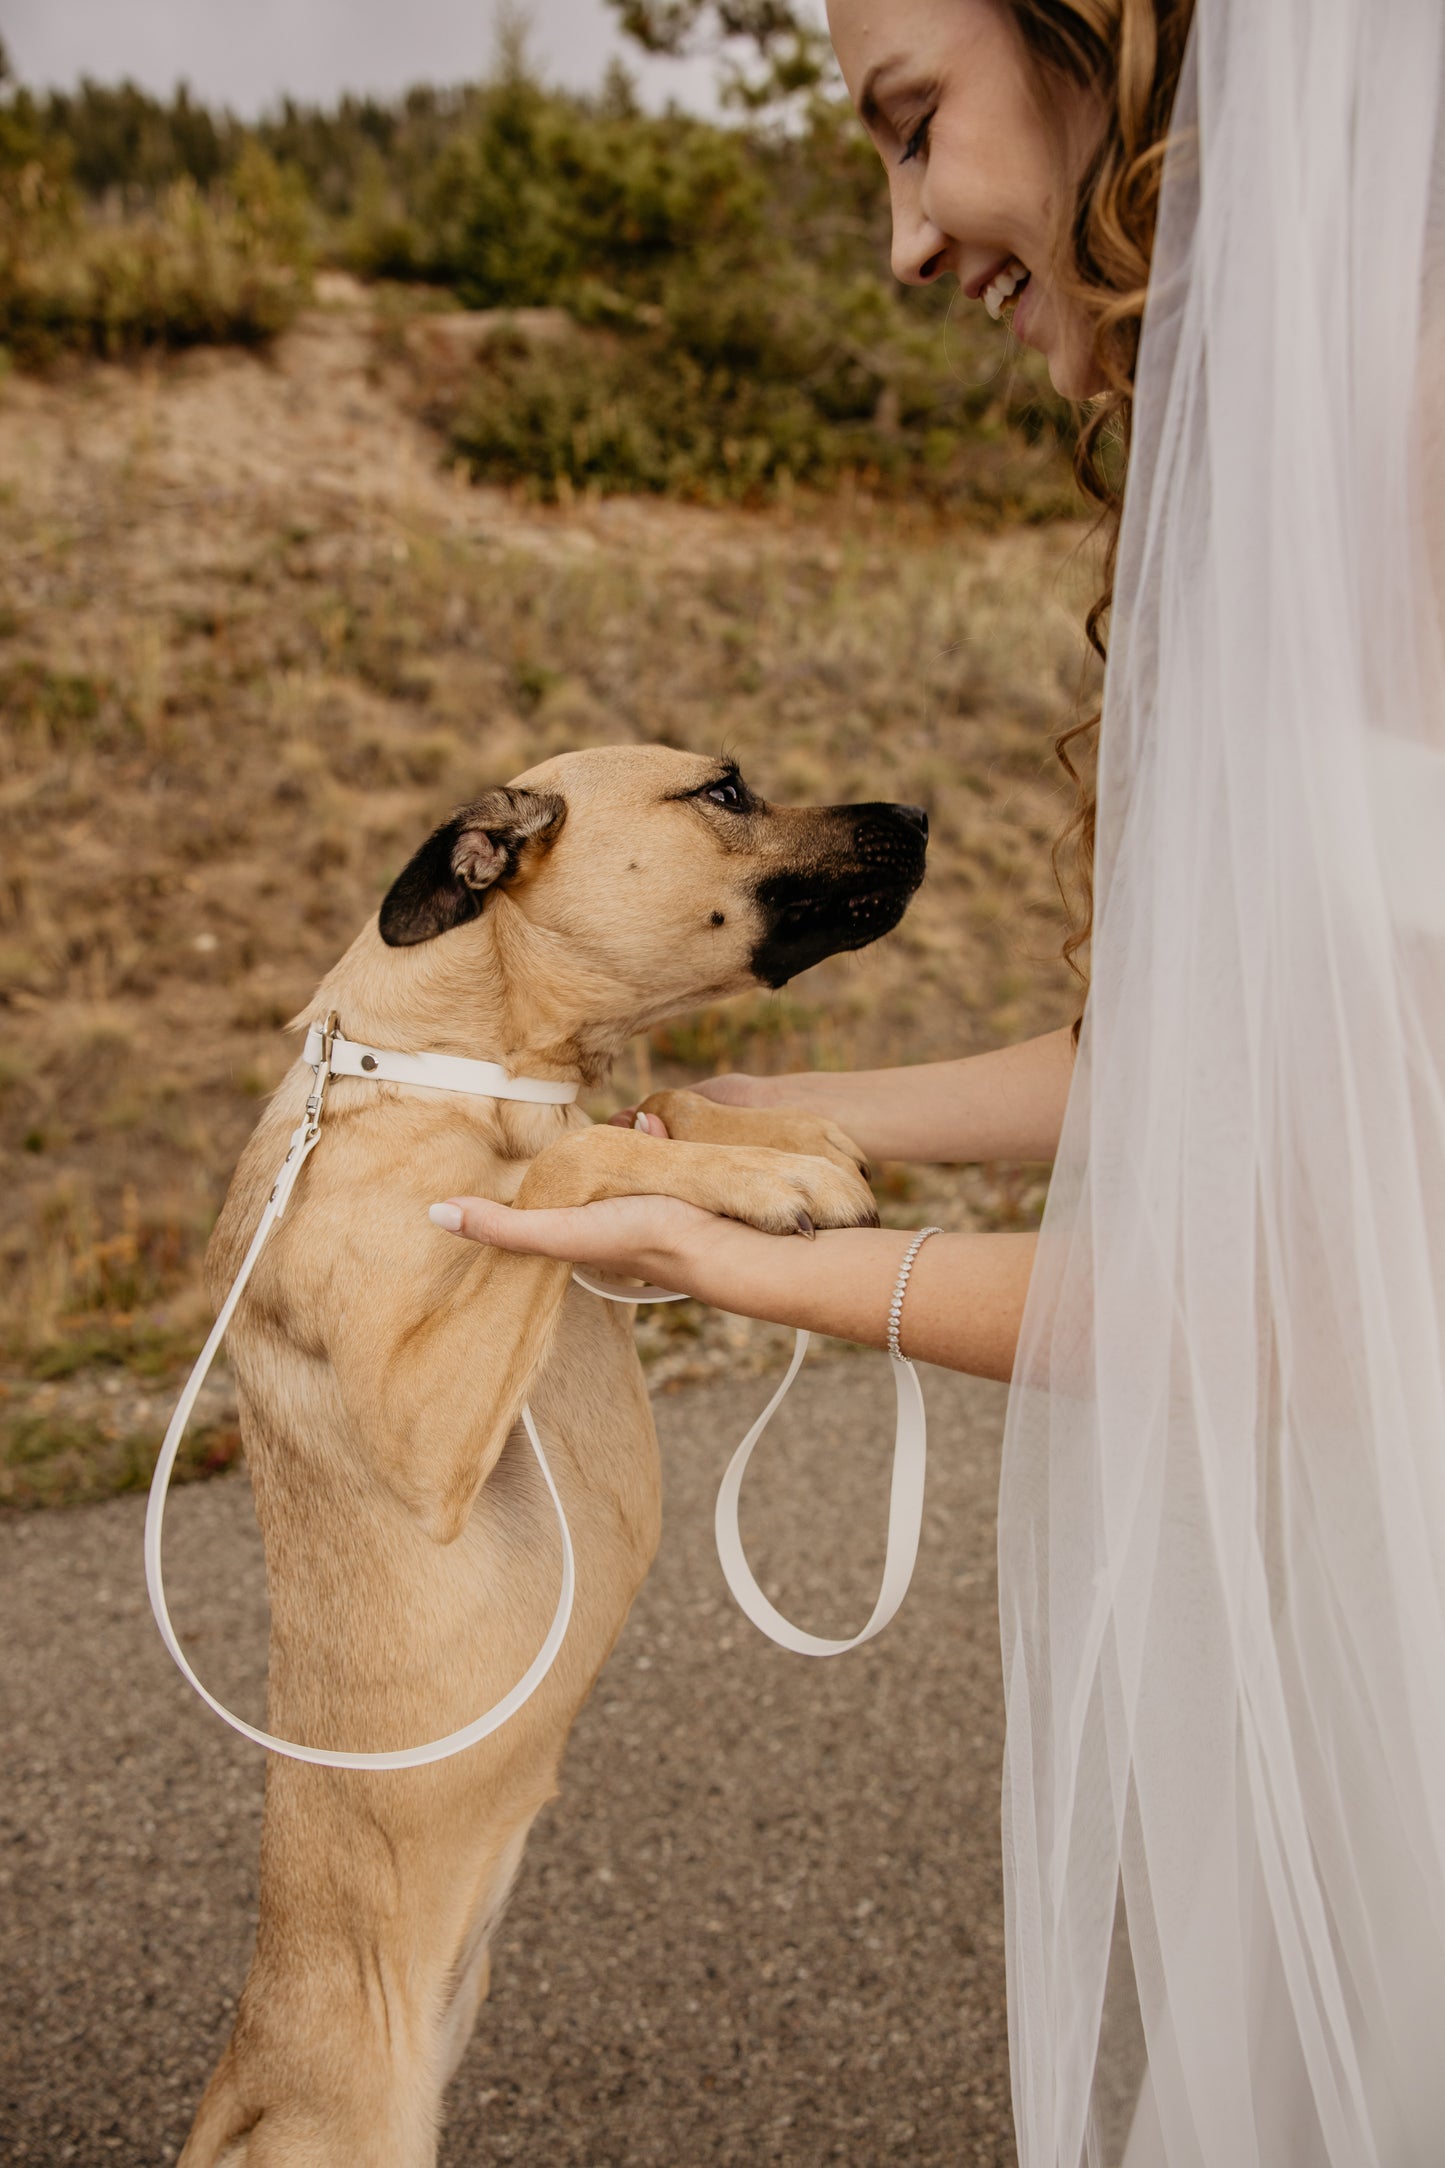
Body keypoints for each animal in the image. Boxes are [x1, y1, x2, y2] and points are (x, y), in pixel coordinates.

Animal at [177, 750, 927, 2168]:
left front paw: (781, 1136)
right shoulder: (423, 1427)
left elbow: (656, 1105)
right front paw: (762, 1176)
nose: (919, 812)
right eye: (724, 791)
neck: (456, 1070)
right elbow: (570, 1159)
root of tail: (238, 2091)